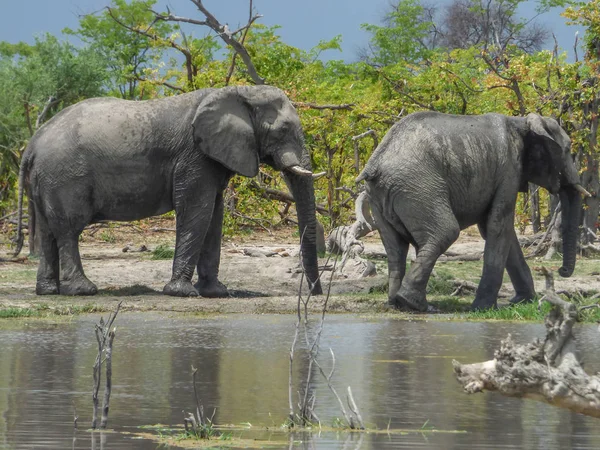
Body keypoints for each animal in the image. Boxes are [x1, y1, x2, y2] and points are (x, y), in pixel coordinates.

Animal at [14, 84, 324, 298]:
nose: (315, 293)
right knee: (68, 229)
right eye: (283, 130)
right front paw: (183, 293)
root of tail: (31, 144)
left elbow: (214, 215)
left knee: (48, 230)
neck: (239, 91)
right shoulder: (195, 156)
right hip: (65, 177)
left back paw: (47, 291)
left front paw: (216, 292)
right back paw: (83, 290)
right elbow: (196, 212)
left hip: (46, 179)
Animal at [356, 110, 592, 312]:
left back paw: (397, 304)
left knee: (395, 247)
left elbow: (497, 231)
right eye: (567, 150)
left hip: (381, 196)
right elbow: (498, 227)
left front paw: (523, 301)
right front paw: (484, 308)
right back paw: (418, 306)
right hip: (418, 187)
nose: (561, 271)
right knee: (445, 232)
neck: (521, 122)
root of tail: (376, 165)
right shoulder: (509, 169)